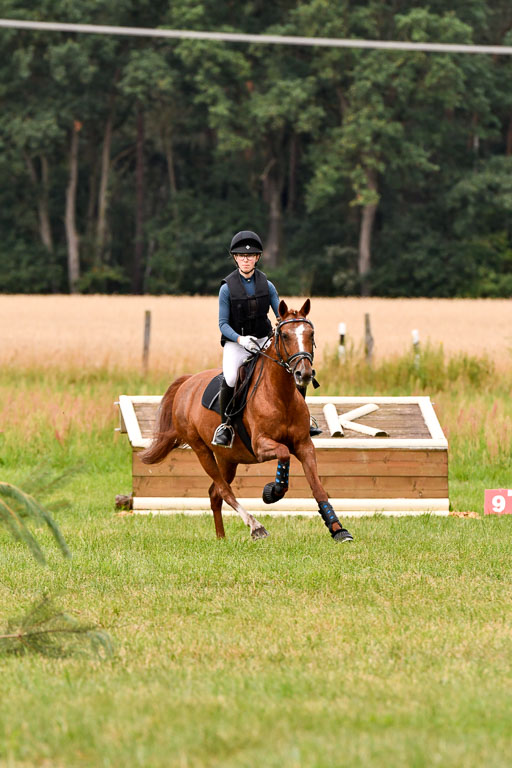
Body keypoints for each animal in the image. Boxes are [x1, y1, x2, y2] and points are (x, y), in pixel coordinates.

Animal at [142, 296, 354, 544]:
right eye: (285, 336)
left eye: (310, 334)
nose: (304, 374)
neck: (280, 395)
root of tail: (187, 383)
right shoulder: (261, 445)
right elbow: (283, 453)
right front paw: (273, 491)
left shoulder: (304, 445)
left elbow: (318, 487)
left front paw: (338, 529)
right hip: (202, 450)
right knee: (224, 490)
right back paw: (255, 526)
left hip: (227, 458)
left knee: (215, 492)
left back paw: (221, 538)